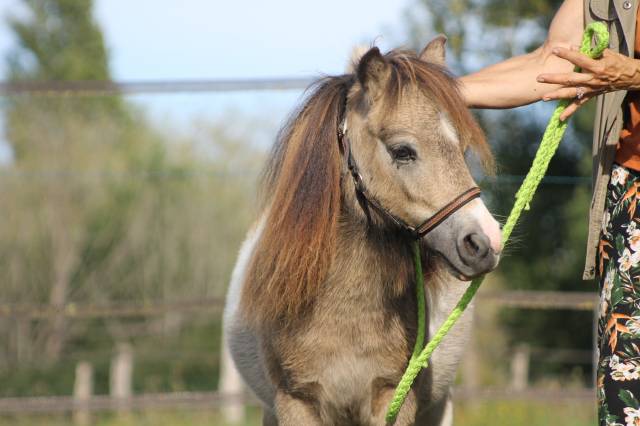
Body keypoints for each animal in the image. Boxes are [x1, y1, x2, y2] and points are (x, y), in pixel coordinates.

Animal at [223, 37, 502, 426]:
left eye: (461, 149)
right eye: (402, 151)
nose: (485, 241)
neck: (342, 314)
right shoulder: (295, 403)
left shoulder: (394, 398)